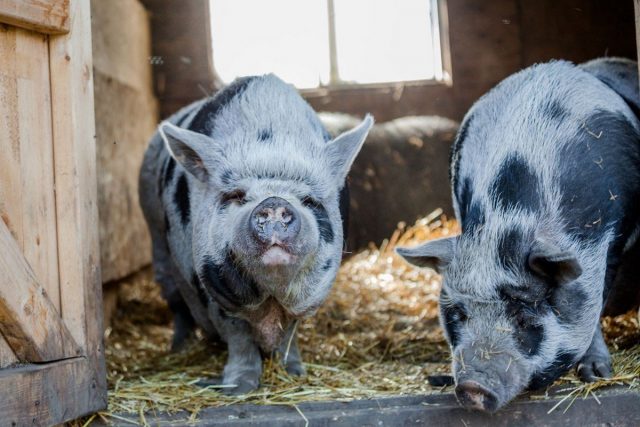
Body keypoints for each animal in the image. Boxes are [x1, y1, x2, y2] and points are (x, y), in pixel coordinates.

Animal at [138, 73, 372, 394]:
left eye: (309, 200)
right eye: (236, 195)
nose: (273, 203)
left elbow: (290, 333)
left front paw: (294, 373)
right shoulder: (214, 290)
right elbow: (238, 336)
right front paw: (240, 387)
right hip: (155, 235)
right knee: (175, 301)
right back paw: (178, 348)